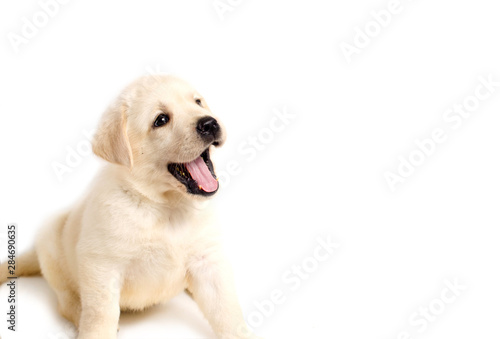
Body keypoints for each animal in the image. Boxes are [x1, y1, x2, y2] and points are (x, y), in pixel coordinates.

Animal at [0, 75, 262, 339]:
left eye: (198, 102)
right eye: (161, 120)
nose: (209, 123)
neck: (166, 207)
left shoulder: (208, 261)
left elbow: (227, 312)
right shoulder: (101, 267)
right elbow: (100, 316)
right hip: (51, 247)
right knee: (67, 300)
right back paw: (77, 311)